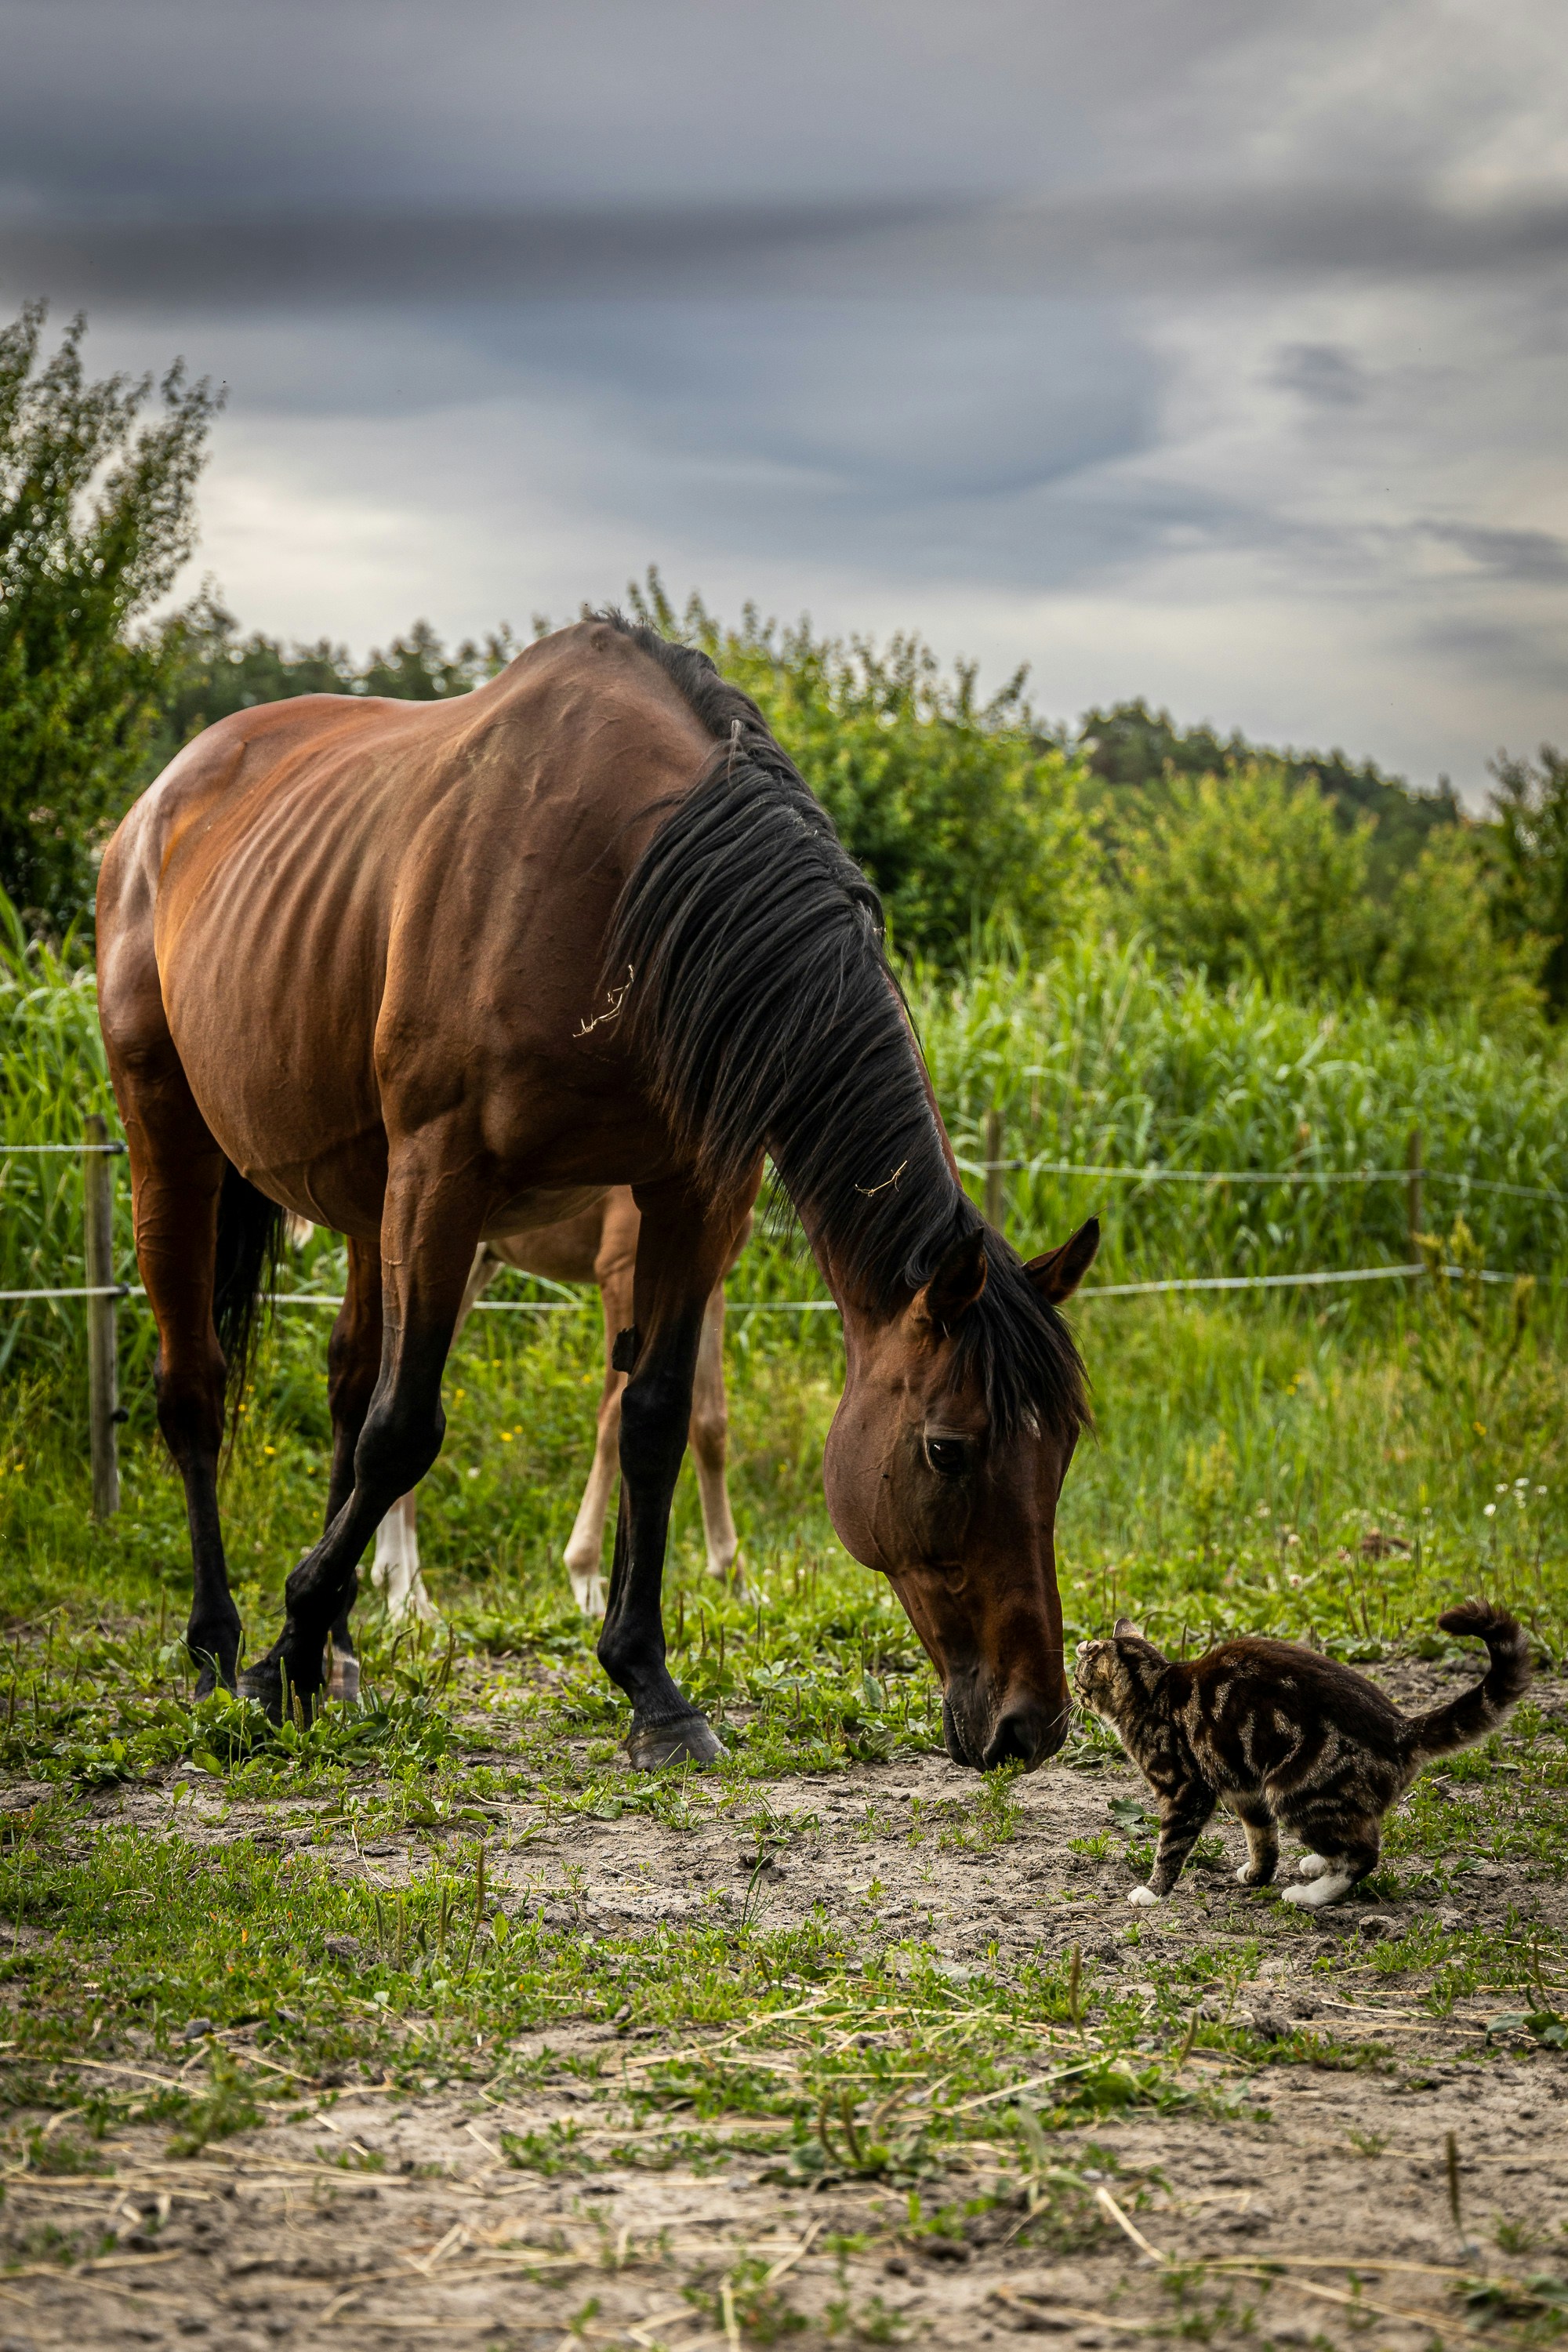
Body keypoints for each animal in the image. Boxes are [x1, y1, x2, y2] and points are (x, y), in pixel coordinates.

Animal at [349, 1189, 749, 1638]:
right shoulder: (621, 1269)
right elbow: (616, 1413)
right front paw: (585, 1578)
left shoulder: (710, 1281)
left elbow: (710, 1423)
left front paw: (736, 1580)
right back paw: (398, 1589)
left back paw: (410, 1596)